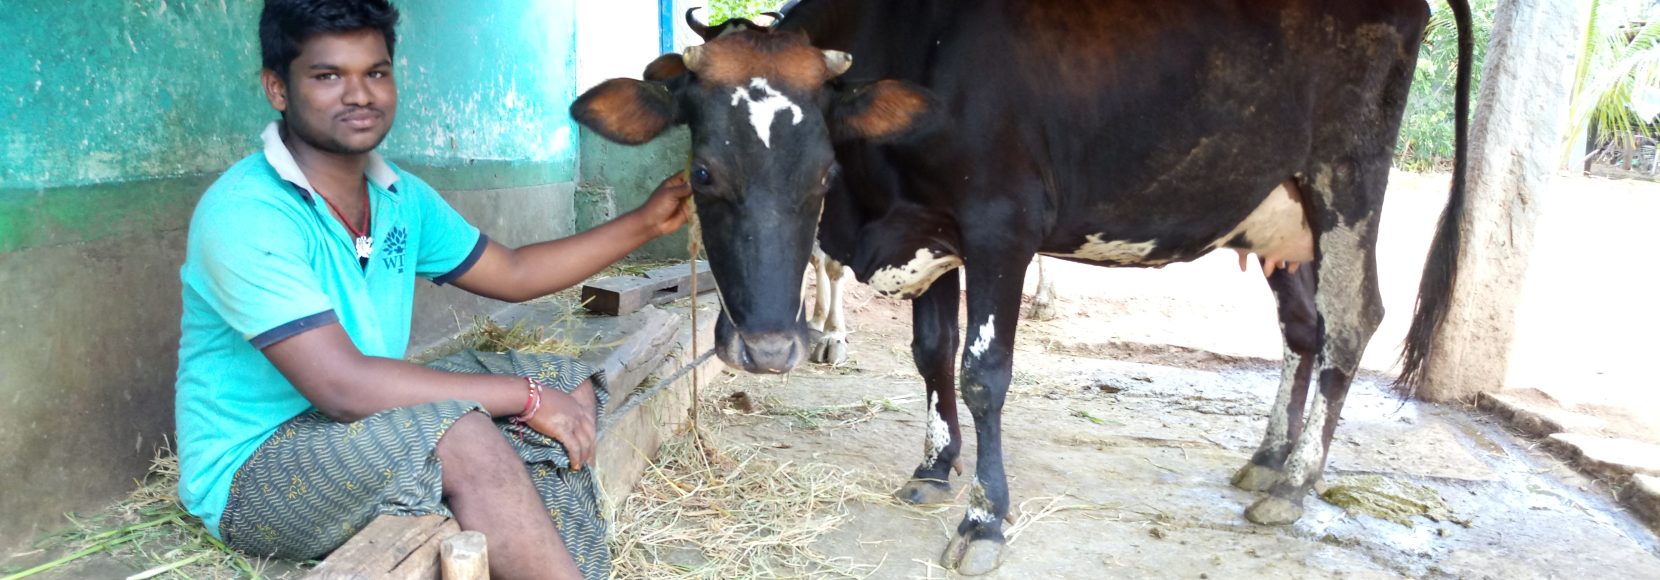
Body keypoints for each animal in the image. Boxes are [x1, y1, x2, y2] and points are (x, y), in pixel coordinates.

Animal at [572, 1, 1472, 574]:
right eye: (701, 171)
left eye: (823, 172)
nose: (765, 348)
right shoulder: (930, 230)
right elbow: (931, 356)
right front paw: (935, 469)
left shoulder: (1002, 228)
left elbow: (982, 374)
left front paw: (984, 518)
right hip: (1281, 217)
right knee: (1303, 330)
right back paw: (1268, 457)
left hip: (1347, 183)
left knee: (1354, 322)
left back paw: (1296, 483)